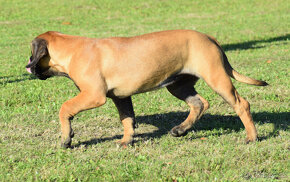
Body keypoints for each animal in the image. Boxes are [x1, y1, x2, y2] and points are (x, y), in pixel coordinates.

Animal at [25, 29, 268, 148]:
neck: (73, 49)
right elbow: (127, 119)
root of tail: (209, 37)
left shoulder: (94, 95)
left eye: (32, 53)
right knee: (200, 104)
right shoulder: (121, 97)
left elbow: (65, 108)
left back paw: (252, 137)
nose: (27, 66)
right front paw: (127, 141)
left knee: (242, 104)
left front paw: (66, 137)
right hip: (178, 85)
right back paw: (181, 129)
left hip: (217, 78)